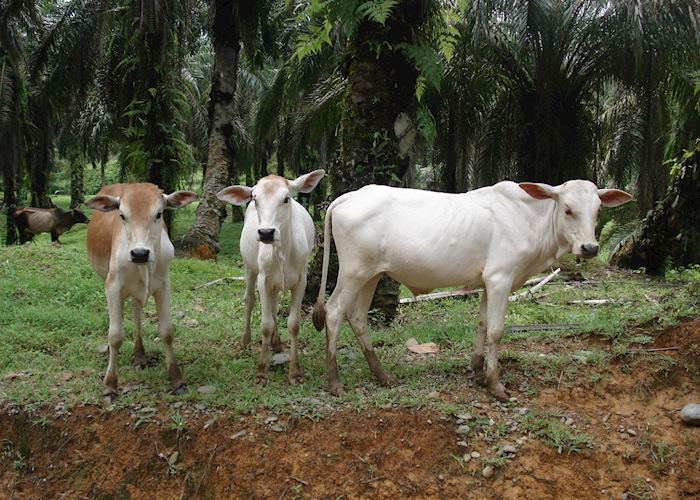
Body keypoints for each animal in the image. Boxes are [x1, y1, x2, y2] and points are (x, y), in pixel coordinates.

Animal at [85, 183, 197, 402]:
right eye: (122, 215)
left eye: (159, 214)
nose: (139, 253)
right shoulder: (112, 286)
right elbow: (115, 336)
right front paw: (110, 385)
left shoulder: (164, 286)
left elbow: (166, 332)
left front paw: (177, 380)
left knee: (137, 314)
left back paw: (140, 355)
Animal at [217, 170, 325, 386]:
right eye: (255, 199)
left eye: (286, 198)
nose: (266, 233)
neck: (282, 251)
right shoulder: (263, 279)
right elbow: (265, 324)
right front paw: (261, 372)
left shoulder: (302, 280)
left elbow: (293, 324)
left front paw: (295, 372)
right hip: (250, 269)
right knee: (250, 301)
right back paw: (246, 341)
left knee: (274, 308)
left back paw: (277, 344)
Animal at [312, 180, 632, 400]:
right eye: (567, 209)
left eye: (597, 210)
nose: (590, 248)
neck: (531, 220)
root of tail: (349, 195)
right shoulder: (501, 278)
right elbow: (497, 330)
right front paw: (495, 384)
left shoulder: (488, 282)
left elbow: (482, 324)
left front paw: (478, 372)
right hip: (353, 272)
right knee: (334, 312)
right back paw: (335, 381)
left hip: (372, 275)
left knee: (357, 317)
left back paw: (383, 375)